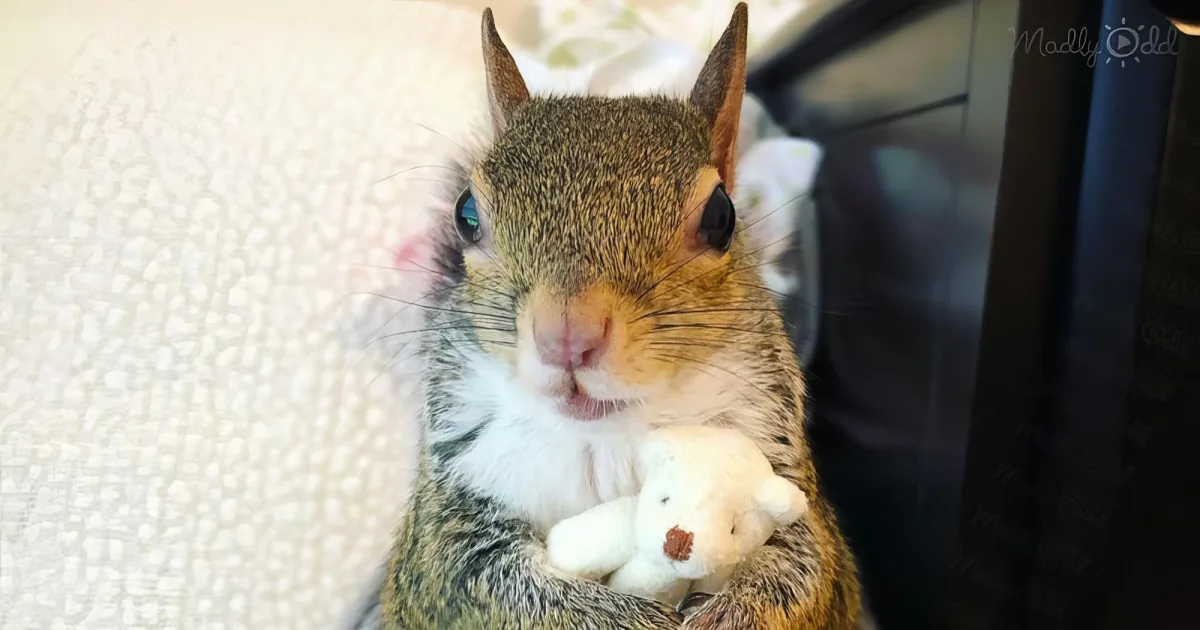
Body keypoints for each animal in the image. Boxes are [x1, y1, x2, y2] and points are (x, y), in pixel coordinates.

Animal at [369, 4, 865, 629]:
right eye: (466, 214)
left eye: (722, 216)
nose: (567, 337)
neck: (603, 438)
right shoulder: (447, 531)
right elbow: (485, 584)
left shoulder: (790, 492)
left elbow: (802, 574)